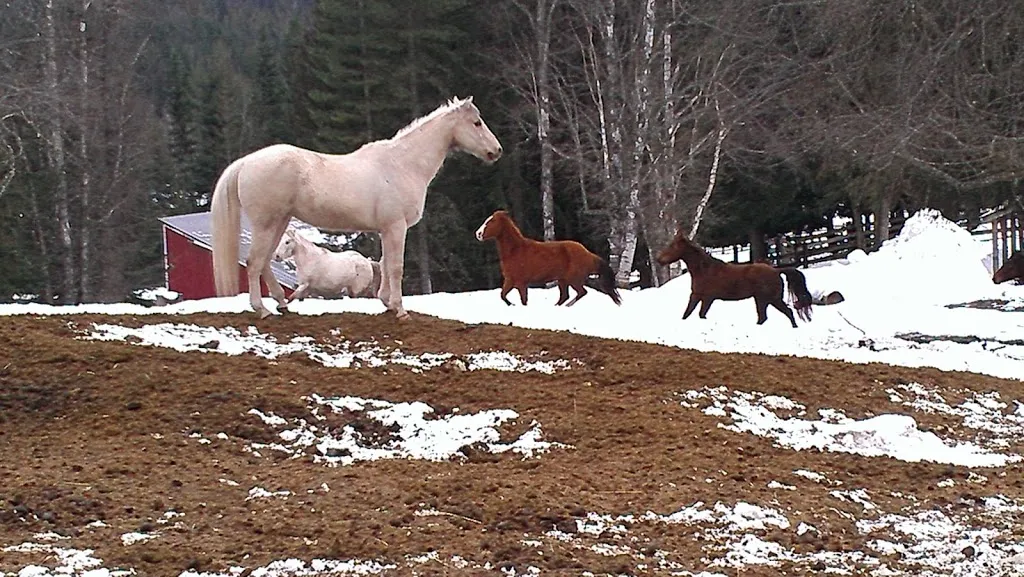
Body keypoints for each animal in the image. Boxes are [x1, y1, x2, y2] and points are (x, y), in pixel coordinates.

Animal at [211, 96, 502, 319]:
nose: (496, 151)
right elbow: (395, 267)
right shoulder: (396, 227)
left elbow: (384, 264)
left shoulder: (385, 229)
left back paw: (281, 304)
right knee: (254, 262)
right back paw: (262, 310)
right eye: (476, 122)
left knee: (265, 262)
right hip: (266, 223)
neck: (402, 164)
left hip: (279, 222)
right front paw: (400, 310)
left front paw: (387, 302)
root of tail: (246, 162)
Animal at [475, 209, 622, 307]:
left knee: (581, 293)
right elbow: (503, 295)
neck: (515, 250)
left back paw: (566, 306)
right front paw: (511, 305)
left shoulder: (521, 283)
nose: (478, 234)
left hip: (573, 280)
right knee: (565, 296)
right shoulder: (510, 280)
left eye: (491, 221)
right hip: (563, 280)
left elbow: (523, 300)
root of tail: (589, 254)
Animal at [655, 228, 814, 327]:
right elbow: (687, 313)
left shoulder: (707, 298)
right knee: (779, 314)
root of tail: (776, 271)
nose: (658, 259)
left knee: (777, 314)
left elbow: (700, 314)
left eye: (672, 246)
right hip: (767, 300)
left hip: (767, 299)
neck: (705, 270)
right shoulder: (696, 295)